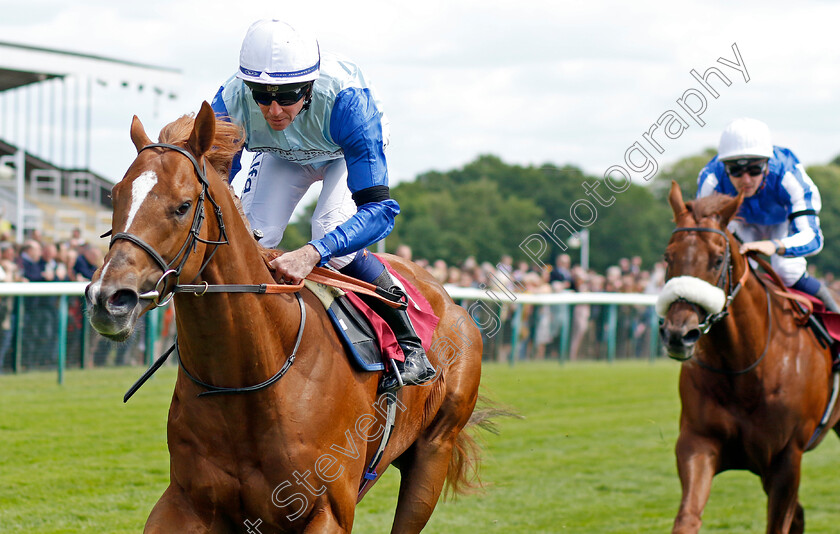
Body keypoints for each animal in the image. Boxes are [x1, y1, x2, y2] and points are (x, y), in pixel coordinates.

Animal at [86, 102, 482, 532]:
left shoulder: (330, 508)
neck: (246, 378)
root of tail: (448, 298)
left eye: (182, 206)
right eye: (115, 195)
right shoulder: (184, 502)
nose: (108, 298)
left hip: (432, 453)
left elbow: (377, 203)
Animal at [660, 182, 836, 532]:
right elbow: (687, 517)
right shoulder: (697, 442)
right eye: (667, 256)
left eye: (717, 260)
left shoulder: (786, 458)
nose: (678, 334)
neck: (743, 369)